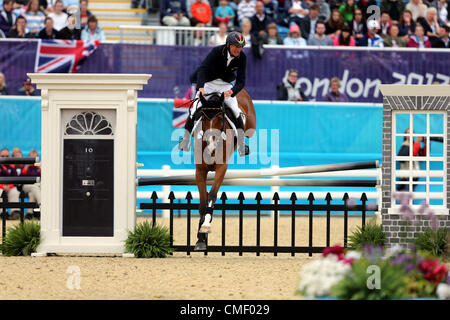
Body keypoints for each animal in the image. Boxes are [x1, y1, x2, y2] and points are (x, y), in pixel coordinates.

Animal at [192, 89, 256, 251]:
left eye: (221, 118)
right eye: (203, 118)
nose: (211, 149)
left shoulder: (221, 169)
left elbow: (212, 195)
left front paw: (206, 225)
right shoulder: (200, 171)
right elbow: (203, 202)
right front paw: (201, 239)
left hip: (251, 124)